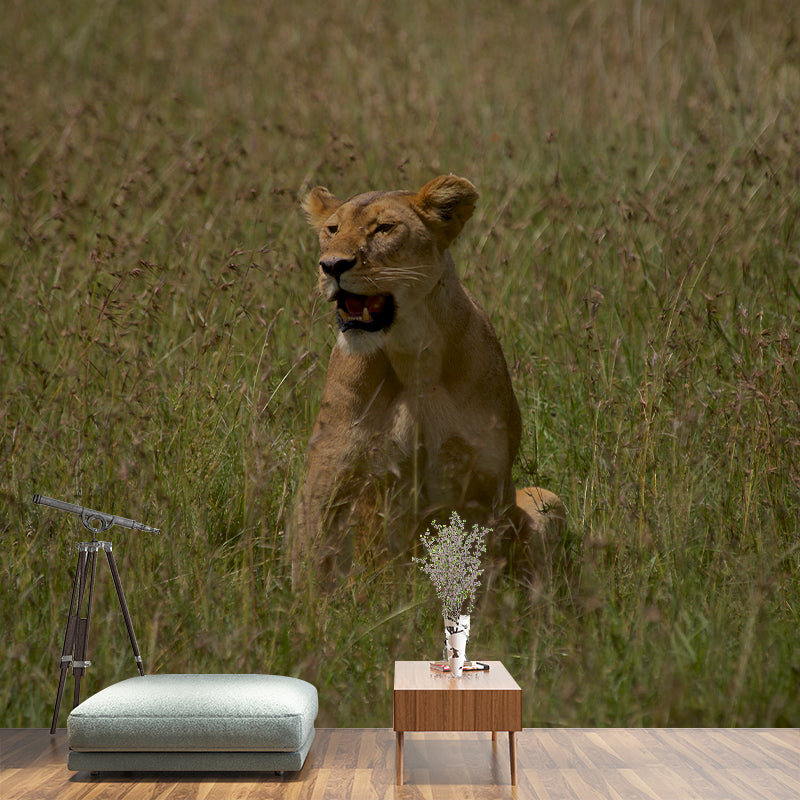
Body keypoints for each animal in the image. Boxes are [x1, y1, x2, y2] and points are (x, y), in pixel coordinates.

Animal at [291, 174, 564, 585]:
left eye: (384, 228)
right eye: (332, 229)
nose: (331, 265)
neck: (413, 353)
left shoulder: (488, 477)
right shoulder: (336, 472)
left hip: (547, 499)